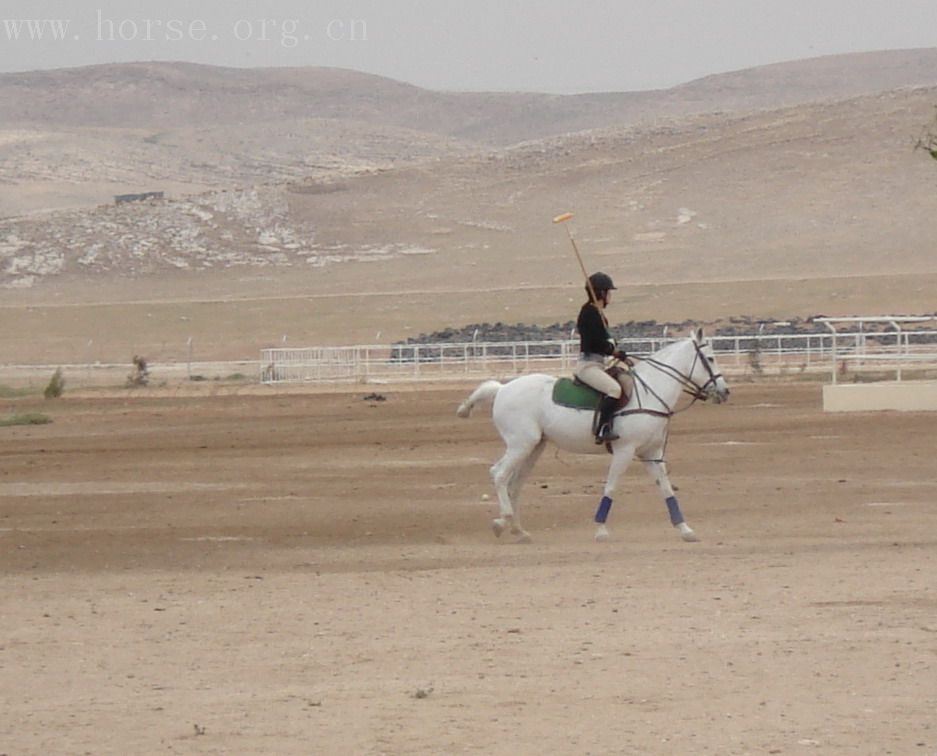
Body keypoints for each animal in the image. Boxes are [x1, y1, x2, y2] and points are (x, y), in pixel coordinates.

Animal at [458, 328, 728, 540]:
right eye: (711, 358)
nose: (725, 392)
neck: (650, 391)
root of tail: (502, 388)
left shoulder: (651, 453)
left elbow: (667, 489)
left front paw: (685, 529)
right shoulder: (624, 451)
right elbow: (611, 487)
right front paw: (601, 530)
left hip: (535, 447)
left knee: (515, 484)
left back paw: (518, 530)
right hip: (520, 444)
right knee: (499, 474)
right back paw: (501, 521)